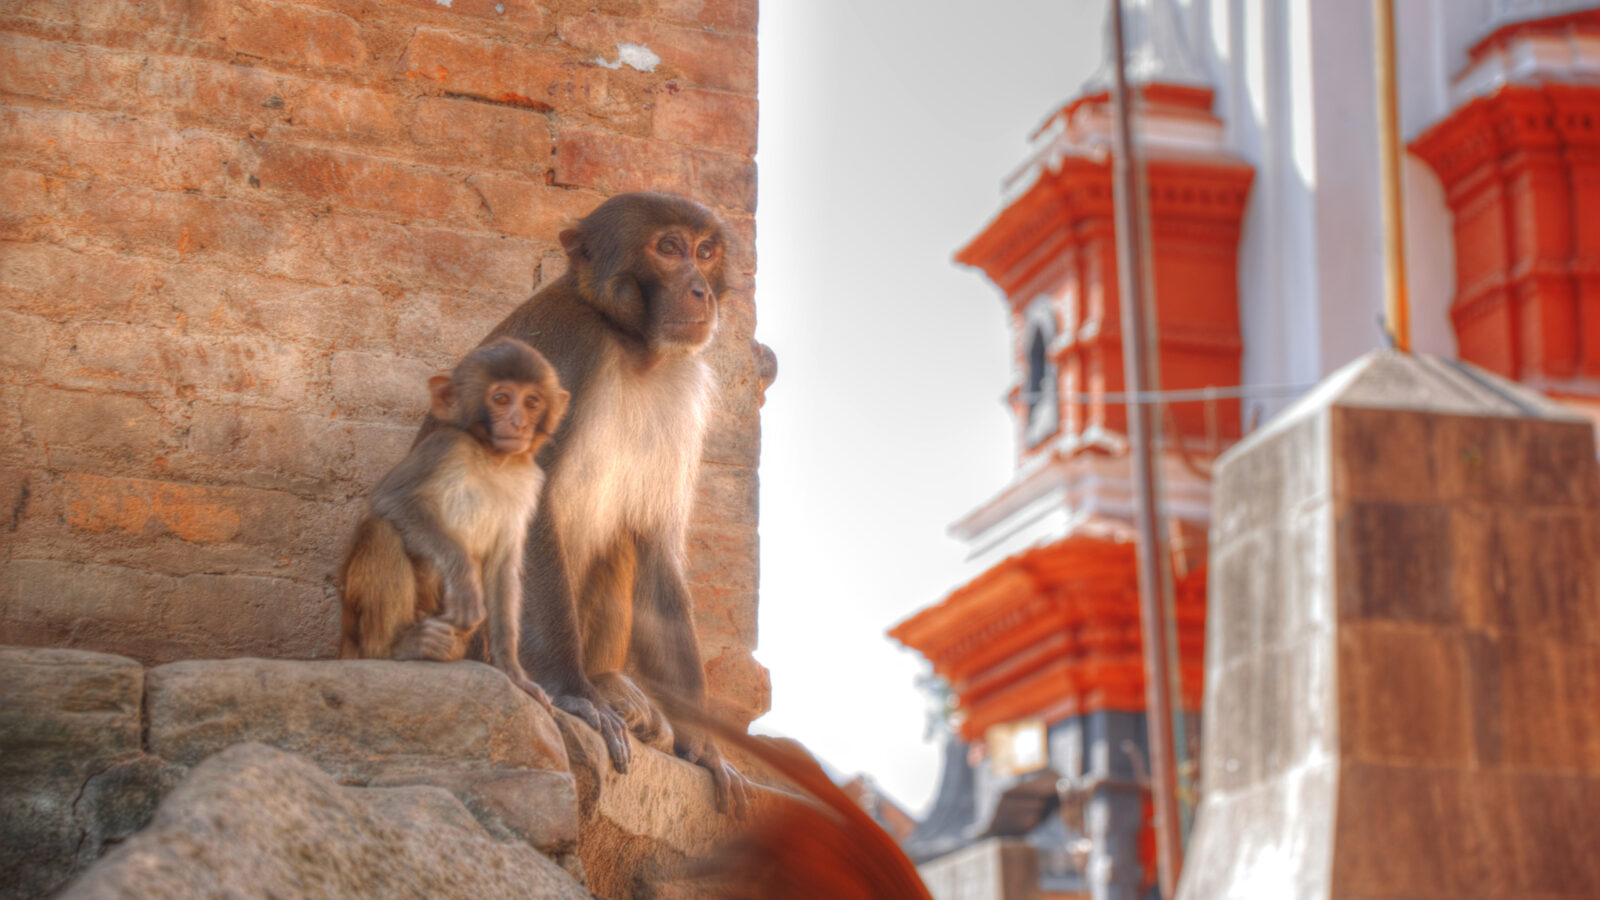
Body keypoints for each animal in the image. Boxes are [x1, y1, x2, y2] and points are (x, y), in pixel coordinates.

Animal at [339, 337, 568, 711]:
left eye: (532, 402)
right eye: (501, 398)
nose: (519, 422)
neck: (493, 458)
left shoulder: (528, 481)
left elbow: (502, 570)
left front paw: (514, 672)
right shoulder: (445, 447)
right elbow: (391, 500)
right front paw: (465, 582)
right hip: (354, 629)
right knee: (381, 531)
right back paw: (393, 649)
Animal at [445, 192, 751, 817]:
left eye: (706, 251)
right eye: (669, 247)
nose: (701, 290)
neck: (629, 343)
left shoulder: (681, 386)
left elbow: (656, 544)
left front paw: (706, 748)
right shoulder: (568, 349)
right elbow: (530, 507)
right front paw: (571, 693)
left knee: (622, 539)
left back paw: (609, 679)